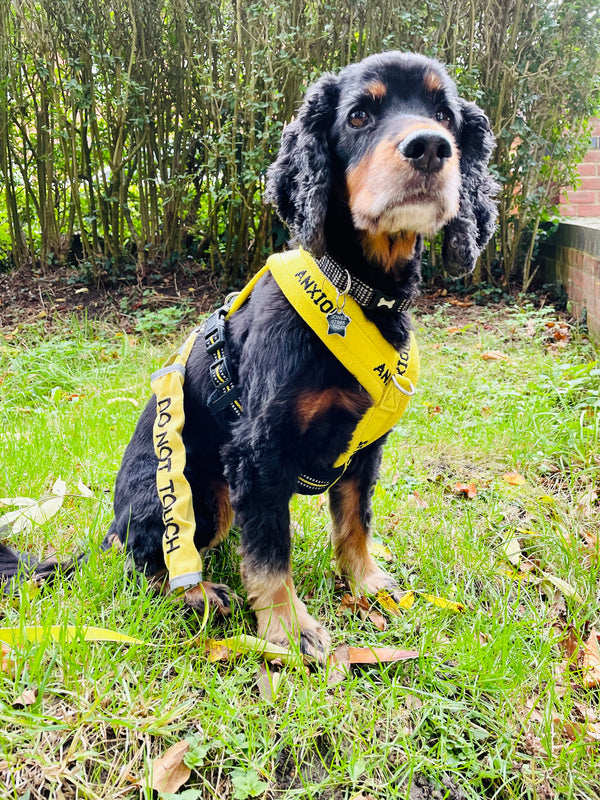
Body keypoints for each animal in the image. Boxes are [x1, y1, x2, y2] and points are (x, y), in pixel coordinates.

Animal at [0, 53, 496, 660]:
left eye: (445, 116)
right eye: (358, 116)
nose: (429, 147)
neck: (358, 293)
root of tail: (111, 527)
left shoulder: (364, 448)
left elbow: (354, 523)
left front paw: (368, 586)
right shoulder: (257, 452)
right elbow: (269, 555)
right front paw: (288, 630)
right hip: (197, 491)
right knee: (145, 565)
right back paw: (200, 593)